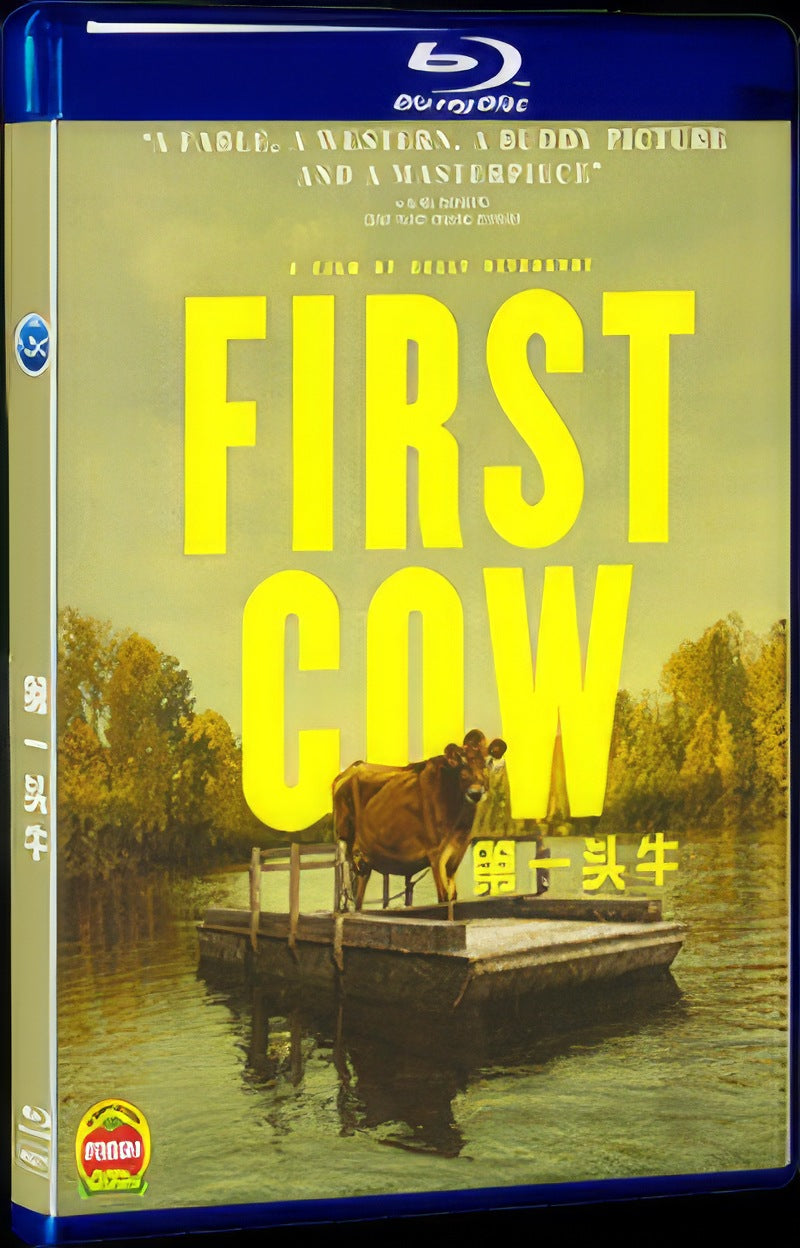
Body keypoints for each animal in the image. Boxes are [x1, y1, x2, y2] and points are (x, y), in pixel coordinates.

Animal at [332, 730, 497, 910]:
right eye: (462, 762)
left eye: (489, 761)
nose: (475, 792)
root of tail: (353, 768)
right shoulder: (436, 853)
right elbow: (444, 897)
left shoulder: (456, 853)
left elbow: (453, 894)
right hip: (345, 840)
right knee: (346, 881)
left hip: (363, 857)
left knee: (360, 886)